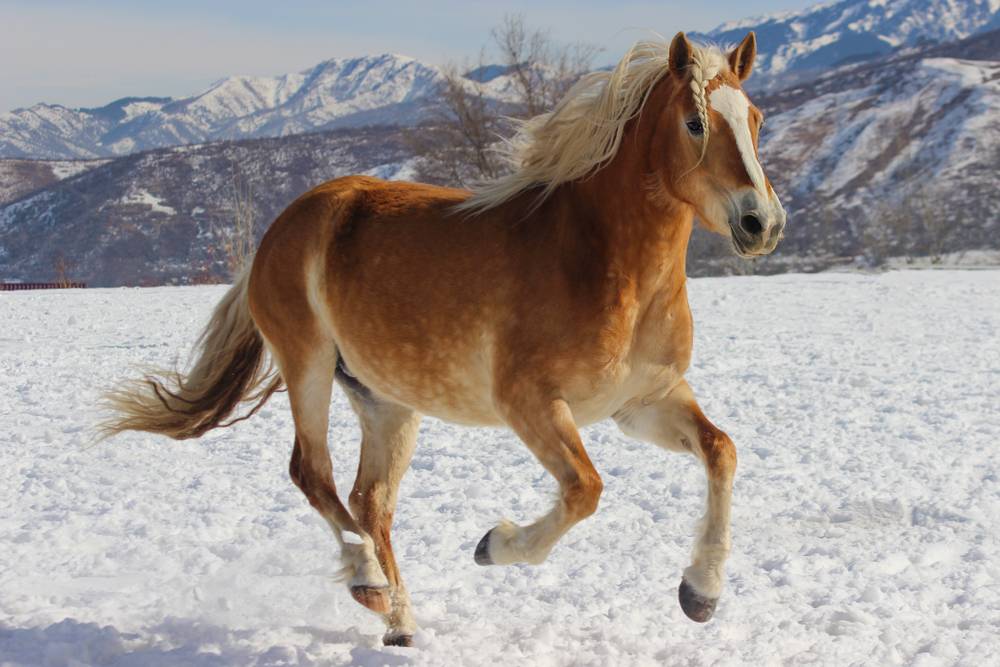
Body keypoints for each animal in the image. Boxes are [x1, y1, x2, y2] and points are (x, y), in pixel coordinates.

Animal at [103, 31, 788, 648]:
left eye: (754, 118)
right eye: (695, 122)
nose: (762, 223)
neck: (604, 263)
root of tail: (284, 224)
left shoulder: (641, 403)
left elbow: (722, 451)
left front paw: (700, 594)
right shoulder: (531, 404)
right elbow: (585, 490)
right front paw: (494, 545)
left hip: (387, 401)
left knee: (370, 500)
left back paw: (399, 622)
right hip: (308, 366)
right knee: (313, 474)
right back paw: (369, 583)